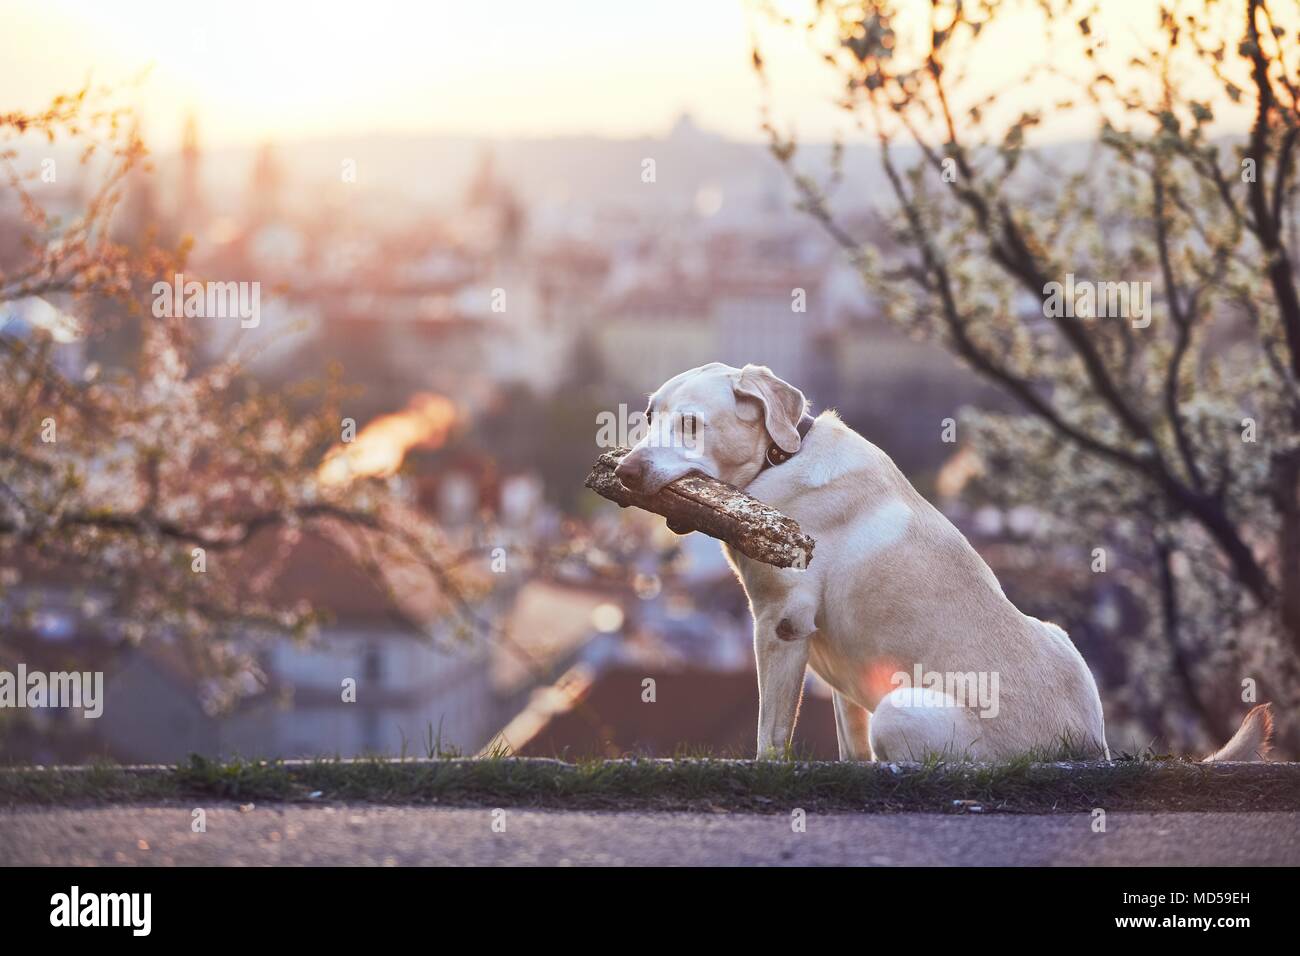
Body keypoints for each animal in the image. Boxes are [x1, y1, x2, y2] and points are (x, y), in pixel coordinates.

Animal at [613, 361, 1274, 764]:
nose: (625, 471)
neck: (781, 459)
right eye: (647, 416)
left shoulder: (781, 622)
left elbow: (771, 731)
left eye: (691, 424)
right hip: (1055, 635)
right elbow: (846, 739)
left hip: (902, 706)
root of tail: (1088, 750)